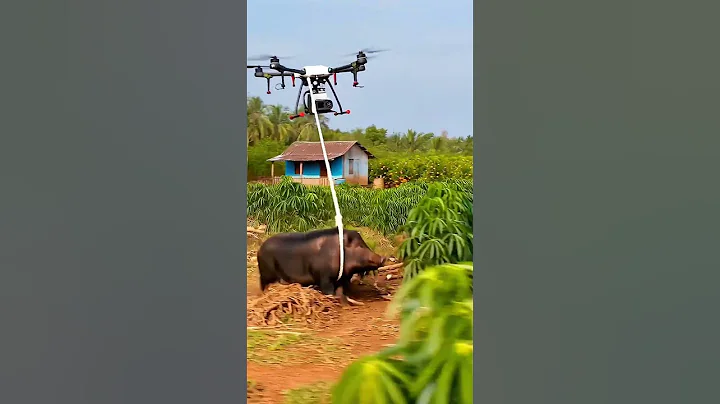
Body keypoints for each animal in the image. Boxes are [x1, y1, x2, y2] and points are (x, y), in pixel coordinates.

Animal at [256, 227, 387, 305]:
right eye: (360, 246)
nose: (383, 258)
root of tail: (259, 249)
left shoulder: (341, 278)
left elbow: (341, 290)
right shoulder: (324, 277)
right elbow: (328, 291)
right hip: (266, 273)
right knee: (263, 285)